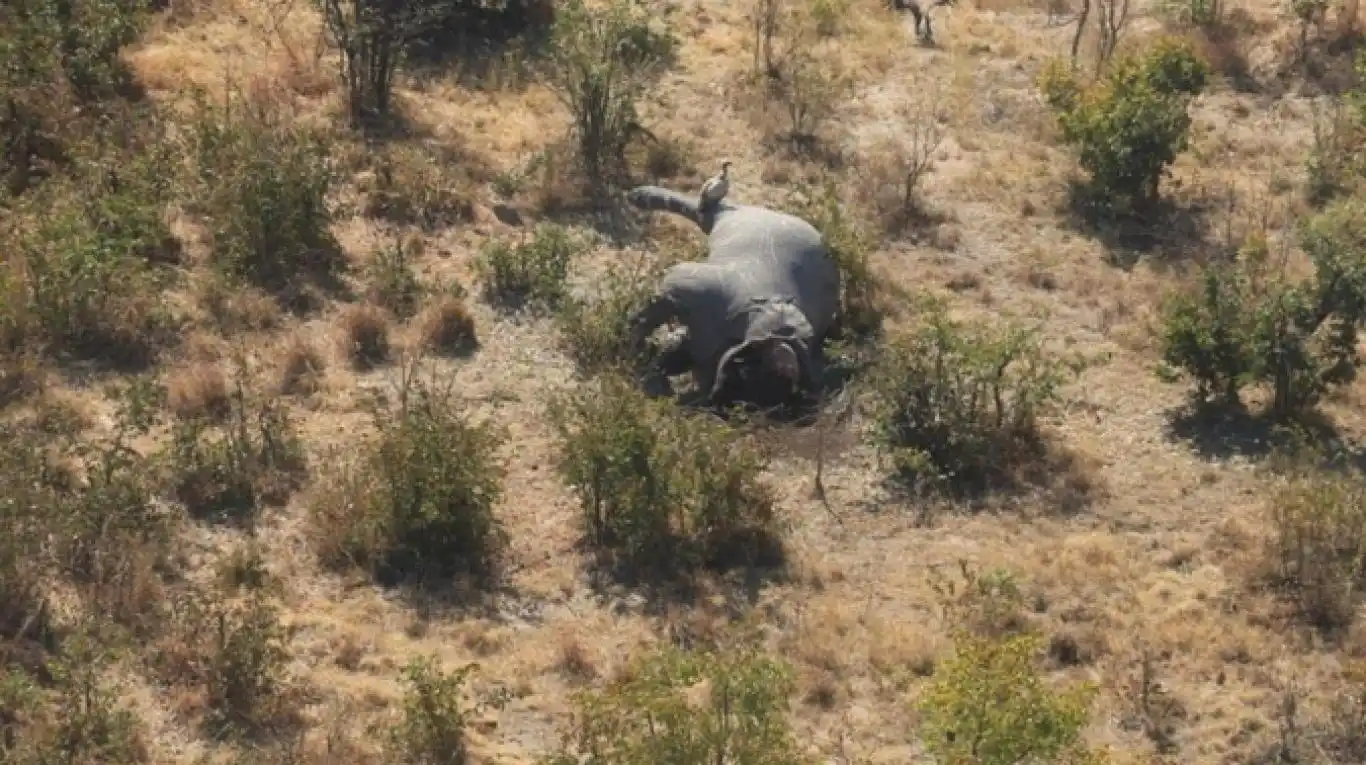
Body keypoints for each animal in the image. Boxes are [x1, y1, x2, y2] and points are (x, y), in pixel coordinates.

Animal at [625, 184, 841, 406]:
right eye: (746, 366)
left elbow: (682, 350)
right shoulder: (688, 287)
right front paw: (635, 355)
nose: (727, 388)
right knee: (705, 207)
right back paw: (646, 194)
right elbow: (648, 317)